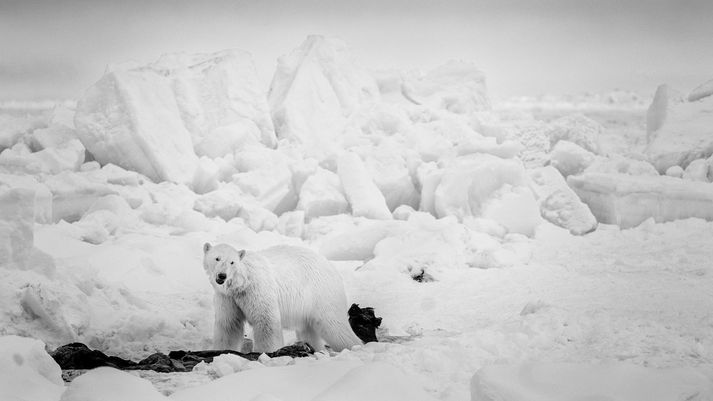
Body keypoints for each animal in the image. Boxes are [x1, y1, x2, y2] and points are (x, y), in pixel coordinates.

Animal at [202, 242, 362, 352]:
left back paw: (354, 346)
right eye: (217, 258)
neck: (241, 282)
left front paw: (266, 352)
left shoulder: (257, 289)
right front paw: (222, 351)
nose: (222, 276)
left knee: (334, 325)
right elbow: (229, 325)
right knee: (309, 330)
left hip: (321, 292)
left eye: (232, 262)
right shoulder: (228, 298)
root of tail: (331, 266)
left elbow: (266, 322)